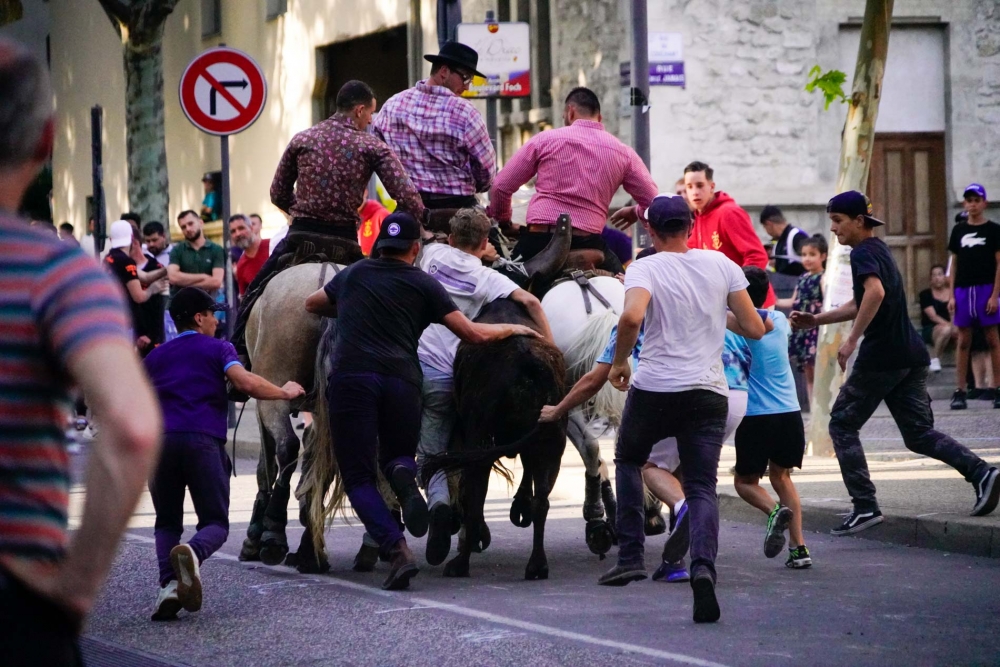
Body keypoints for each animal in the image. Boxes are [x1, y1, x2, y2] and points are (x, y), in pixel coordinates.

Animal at [420, 298, 564, 580]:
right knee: (542, 500)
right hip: (552, 444)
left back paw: (460, 563)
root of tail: (529, 364)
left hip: (479, 441)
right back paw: (537, 565)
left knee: (475, 497)